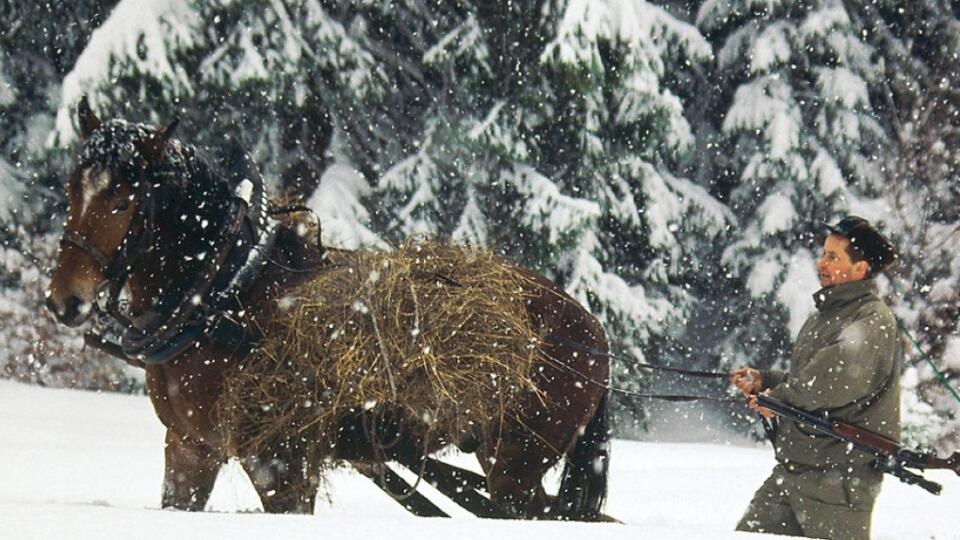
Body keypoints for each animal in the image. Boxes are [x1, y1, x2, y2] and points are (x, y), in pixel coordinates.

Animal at [45, 99, 612, 520]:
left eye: (123, 202)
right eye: (73, 189)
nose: (65, 299)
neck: (227, 291)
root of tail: (592, 332)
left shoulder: (279, 460)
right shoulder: (190, 447)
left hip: (515, 468)